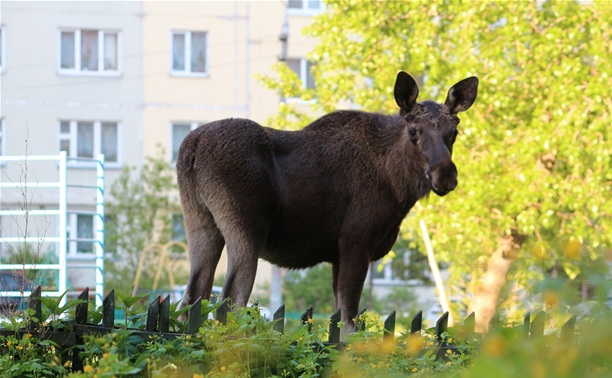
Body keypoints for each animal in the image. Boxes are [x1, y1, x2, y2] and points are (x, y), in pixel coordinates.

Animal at [177, 71, 478, 334]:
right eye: (414, 131)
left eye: (454, 132)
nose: (445, 175)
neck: (397, 186)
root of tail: (191, 147)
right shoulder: (355, 243)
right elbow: (349, 323)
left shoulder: (337, 255)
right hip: (246, 228)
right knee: (229, 302)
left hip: (199, 222)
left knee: (191, 298)